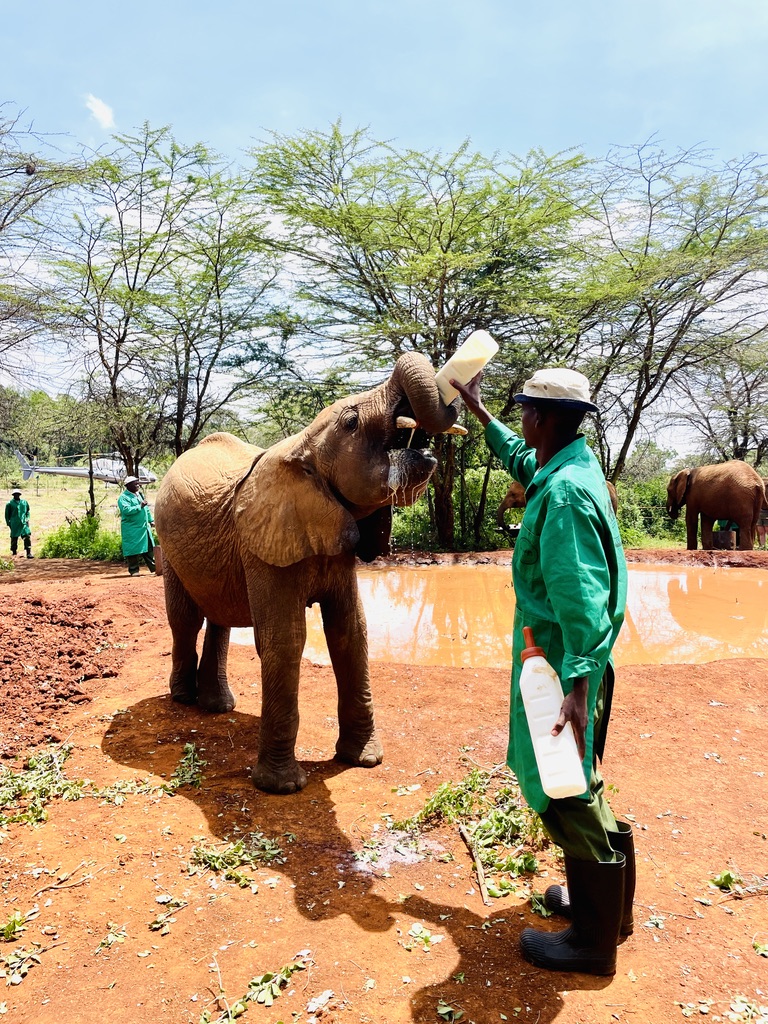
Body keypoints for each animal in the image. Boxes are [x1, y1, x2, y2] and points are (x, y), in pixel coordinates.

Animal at [154, 352, 464, 794]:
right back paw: (183, 699)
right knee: (185, 618)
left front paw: (364, 760)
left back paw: (218, 707)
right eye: (351, 422)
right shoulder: (265, 543)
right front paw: (282, 787)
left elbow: (351, 631)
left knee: (220, 617)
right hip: (167, 543)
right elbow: (285, 639)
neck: (302, 447)